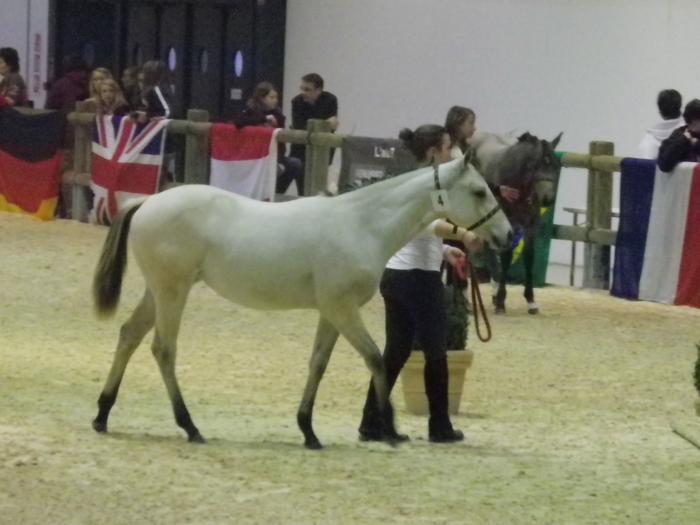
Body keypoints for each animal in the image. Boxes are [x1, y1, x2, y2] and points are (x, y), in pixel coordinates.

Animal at [470, 130, 564, 314]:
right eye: (535, 165)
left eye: (557, 165)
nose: (547, 199)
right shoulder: (509, 223)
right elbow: (506, 255)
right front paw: (501, 301)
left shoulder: (531, 224)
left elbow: (529, 256)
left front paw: (531, 300)